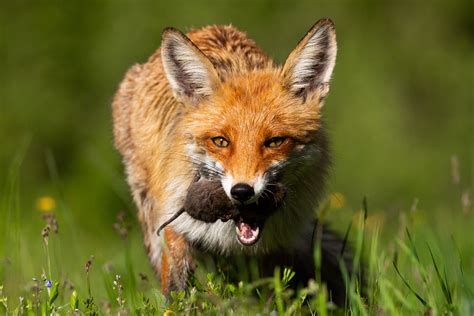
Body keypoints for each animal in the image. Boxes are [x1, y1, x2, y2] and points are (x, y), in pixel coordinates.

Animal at [113, 17, 354, 304]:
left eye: (275, 142)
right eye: (220, 141)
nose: (242, 191)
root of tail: (208, 27)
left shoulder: (275, 245)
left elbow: (270, 292)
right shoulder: (173, 218)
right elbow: (176, 284)